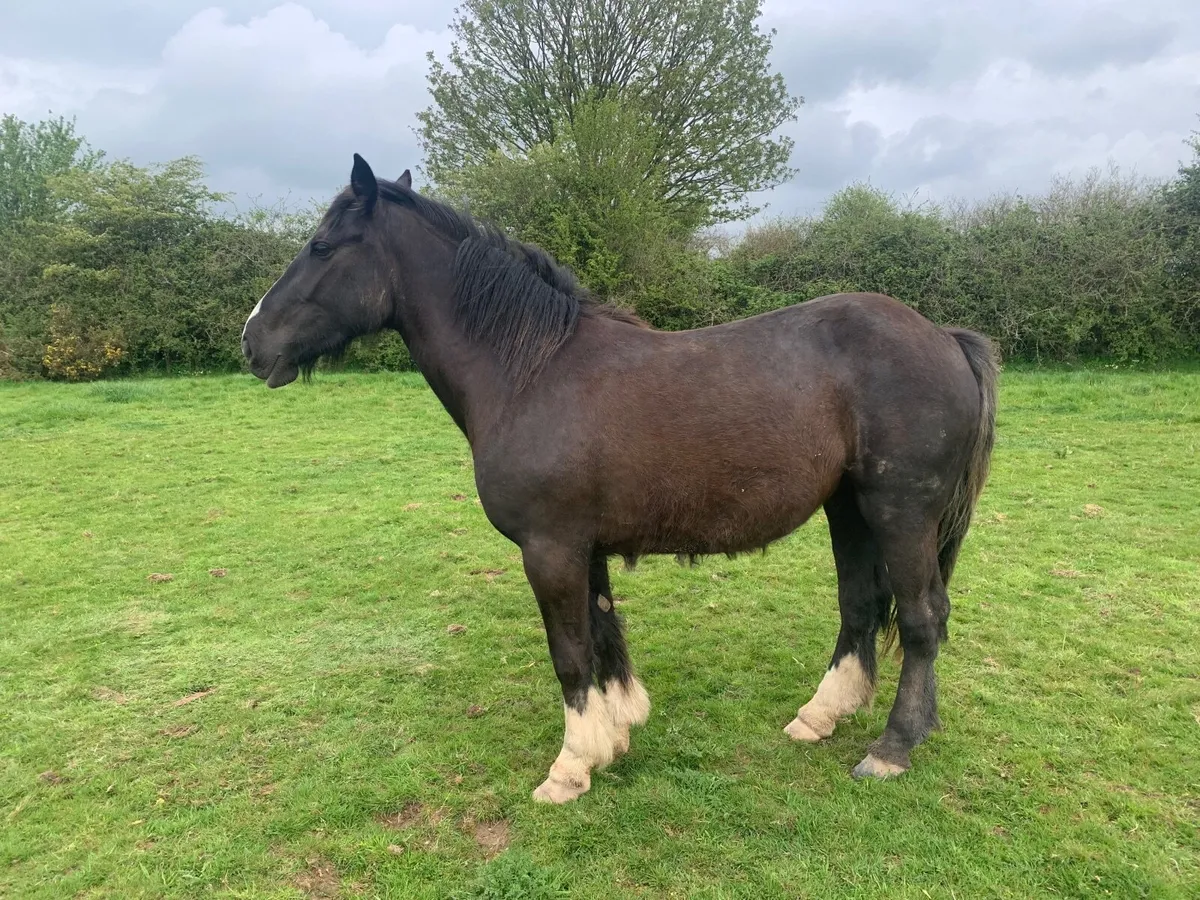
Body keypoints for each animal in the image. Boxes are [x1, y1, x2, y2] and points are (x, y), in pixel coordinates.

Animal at [241, 154, 999, 803]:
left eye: (323, 247)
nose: (253, 341)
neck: (531, 371)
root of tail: (944, 338)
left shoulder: (549, 549)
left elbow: (571, 654)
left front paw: (571, 766)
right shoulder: (582, 547)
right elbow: (604, 634)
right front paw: (619, 729)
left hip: (901, 512)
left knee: (923, 618)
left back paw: (892, 748)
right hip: (851, 510)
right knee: (860, 607)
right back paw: (820, 716)